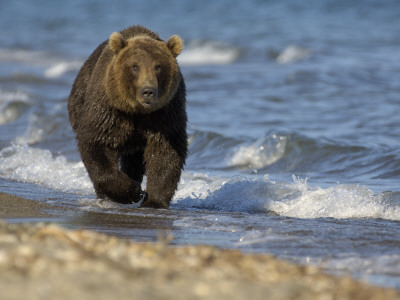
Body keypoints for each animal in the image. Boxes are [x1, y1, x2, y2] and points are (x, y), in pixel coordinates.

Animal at [67, 25, 188, 207]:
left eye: (158, 66)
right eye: (135, 66)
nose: (148, 92)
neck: (136, 112)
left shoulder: (165, 114)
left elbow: (166, 151)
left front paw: (153, 200)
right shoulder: (109, 110)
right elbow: (96, 142)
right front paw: (132, 192)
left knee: (134, 160)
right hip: (79, 102)